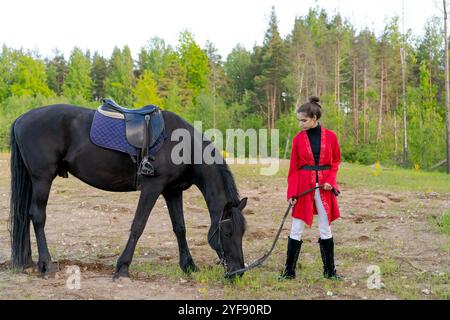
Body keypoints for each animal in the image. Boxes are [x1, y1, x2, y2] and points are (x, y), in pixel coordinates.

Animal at [8, 104, 248, 278]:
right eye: (227, 232)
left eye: (242, 232)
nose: (238, 272)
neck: (184, 145)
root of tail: (21, 119)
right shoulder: (152, 187)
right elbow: (138, 225)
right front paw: (123, 267)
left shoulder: (172, 191)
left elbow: (180, 228)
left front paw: (189, 265)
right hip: (42, 179)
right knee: (38, 217)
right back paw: (47, 265)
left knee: (26, 216)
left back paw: (29, 262)